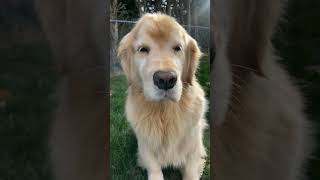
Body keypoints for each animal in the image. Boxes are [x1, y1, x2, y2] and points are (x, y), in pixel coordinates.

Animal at [117, 13, 208, 179]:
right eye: (143, 49)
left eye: (178, 48)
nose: (166, 79)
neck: (165, 112)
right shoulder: (145, 148)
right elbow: (154, 168)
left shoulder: (194, 150)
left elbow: (191, 171)